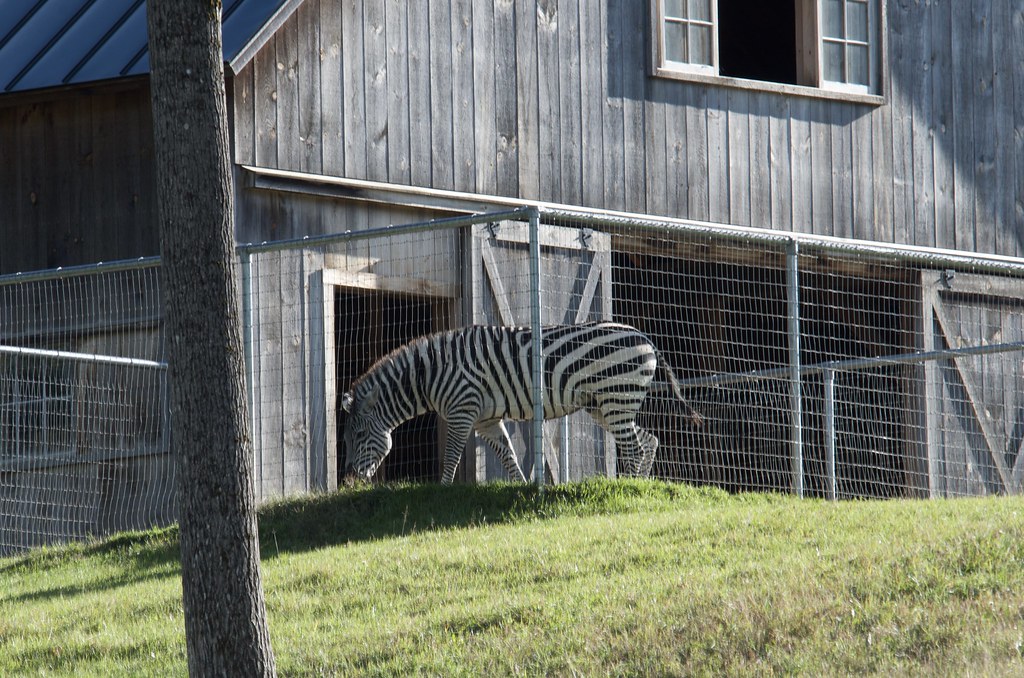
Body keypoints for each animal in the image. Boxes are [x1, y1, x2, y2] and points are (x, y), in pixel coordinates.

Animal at [341, 321, 702, 484]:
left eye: (357, 436)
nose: (350, 478)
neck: (427, 375)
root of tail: (646, 339)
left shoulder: (462, 409)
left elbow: (452, 456)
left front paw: (442, 490)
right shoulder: (485, 419)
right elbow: (508, 455)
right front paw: (521, 487)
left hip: (616, 397)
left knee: (634, 447)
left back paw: (626, 486)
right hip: (606, 404)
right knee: (648, 440)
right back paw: (639, 484)